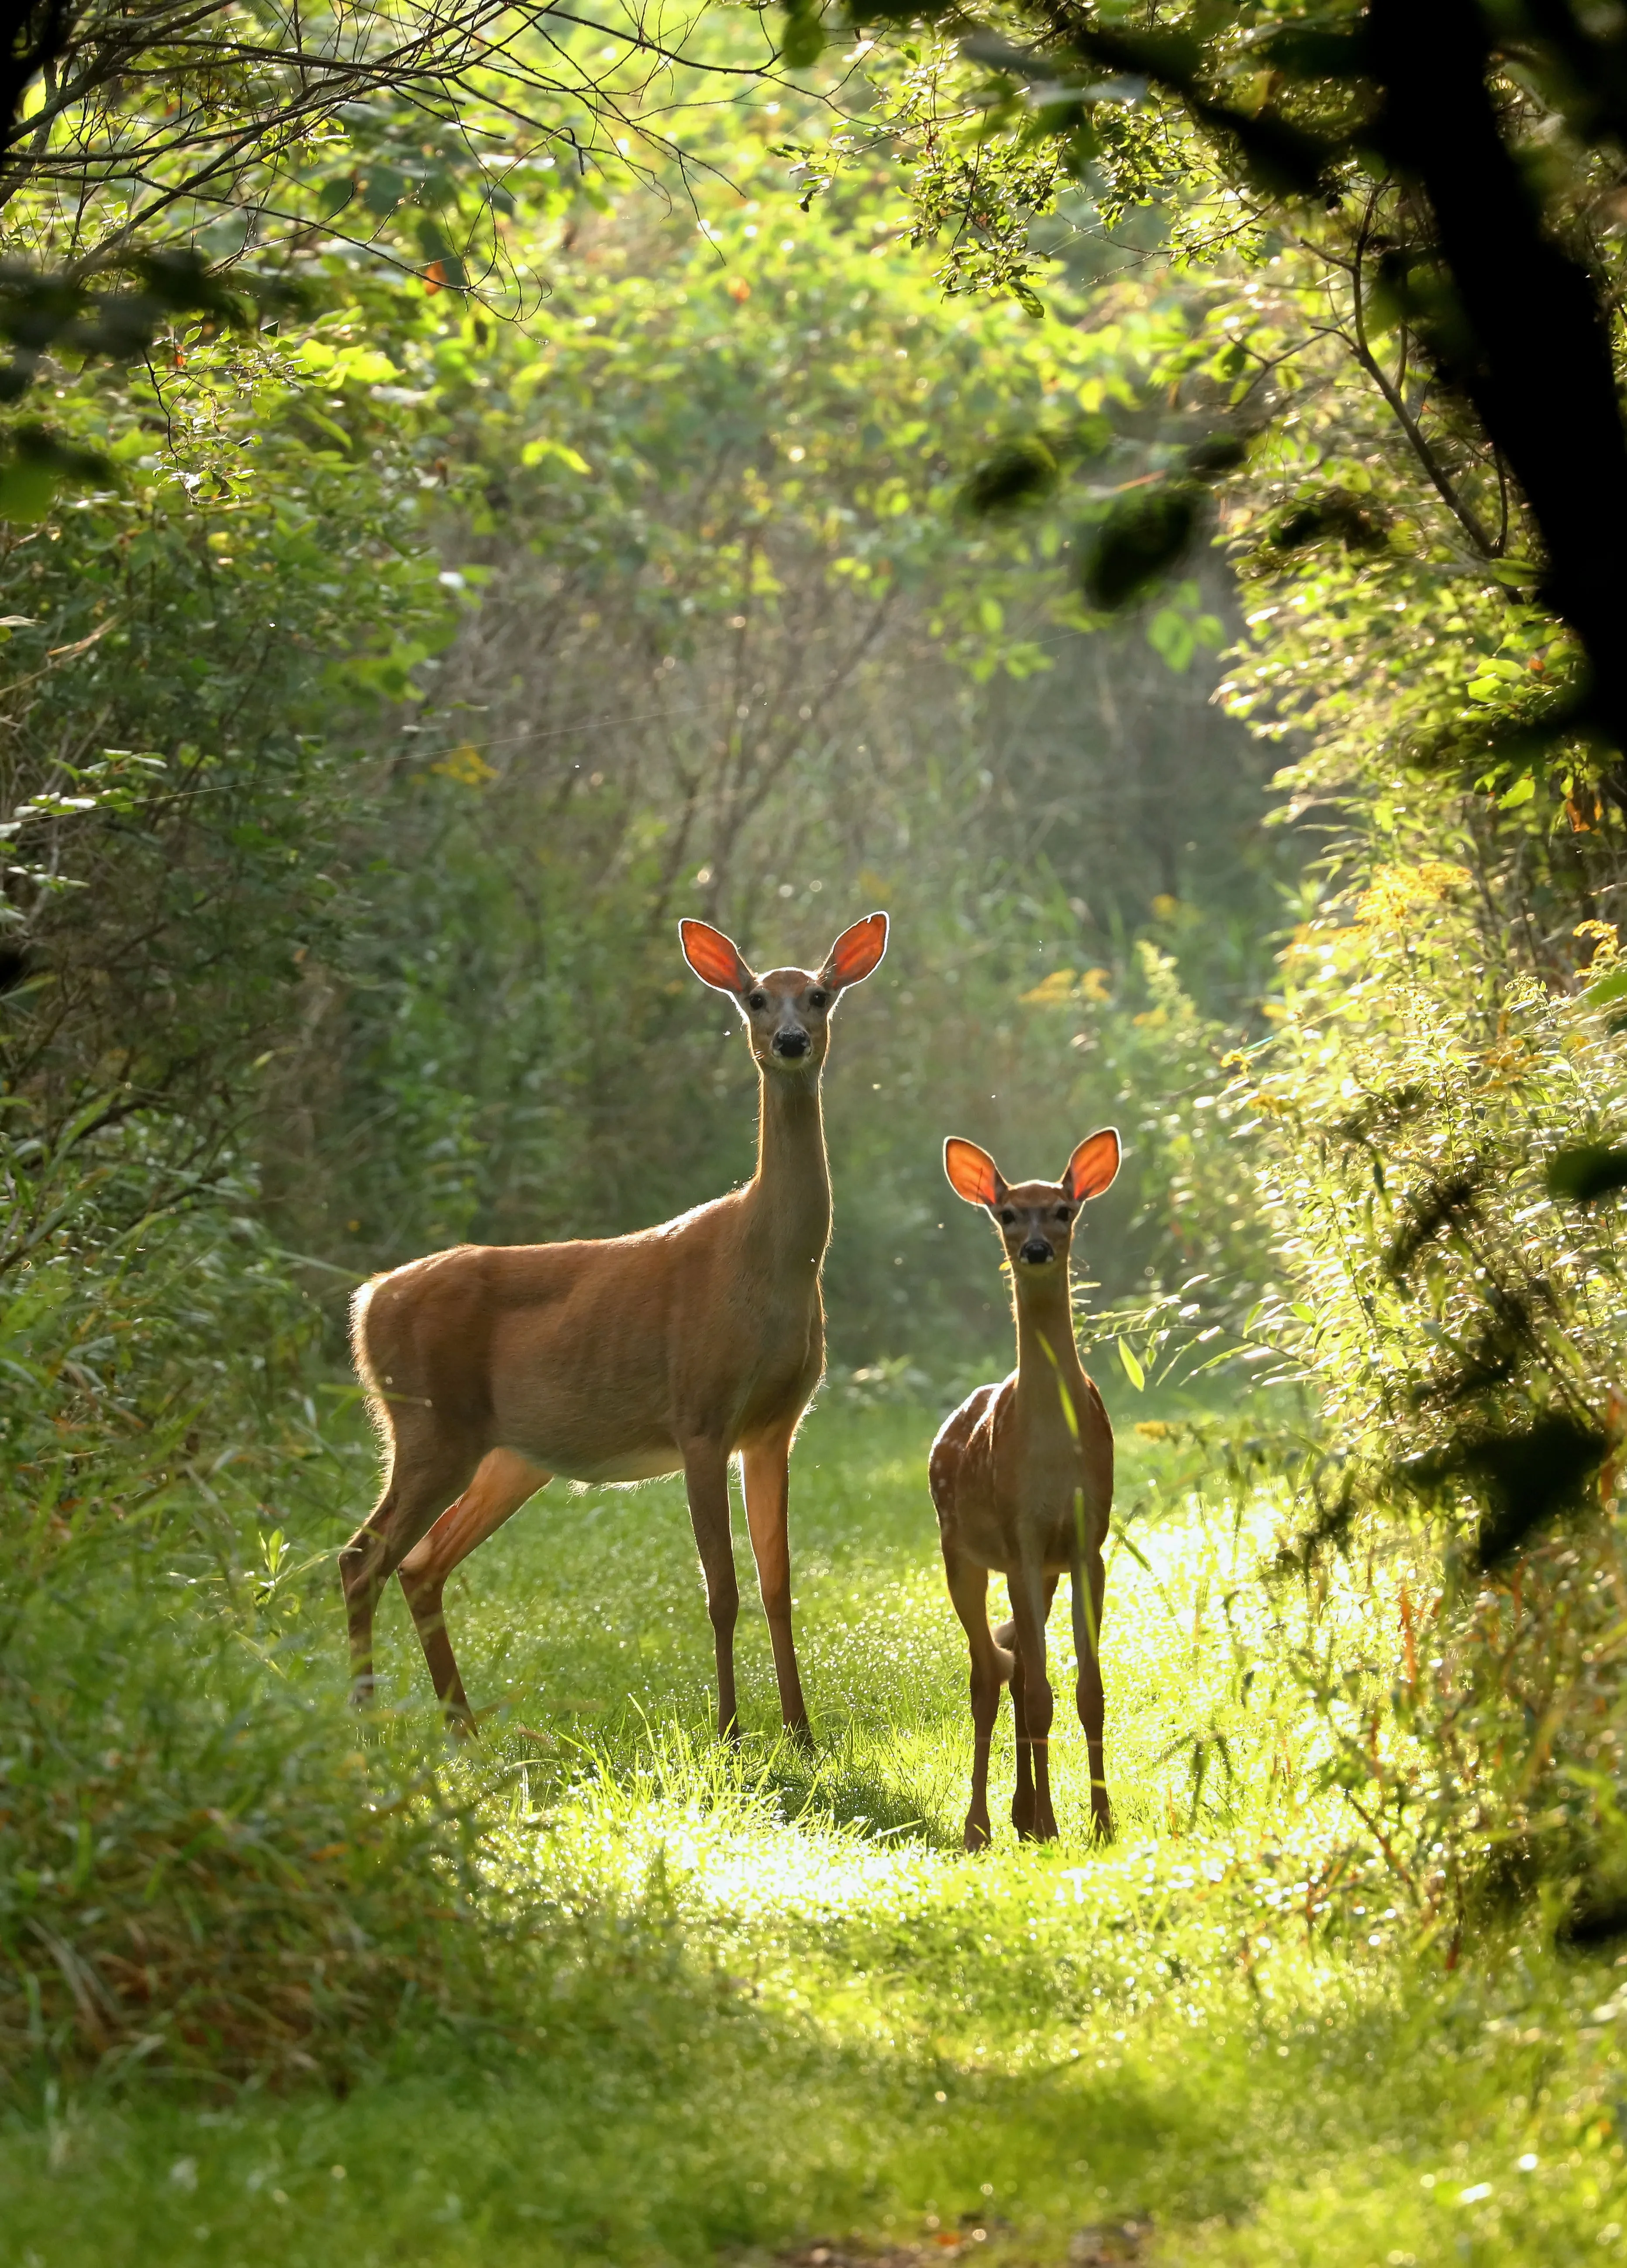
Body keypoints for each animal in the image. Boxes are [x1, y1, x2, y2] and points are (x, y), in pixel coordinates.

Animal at [338, 910, 889, 1742]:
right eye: (757, 997)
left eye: (820, 995)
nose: (791, 1040)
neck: (766, 1263)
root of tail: (368, 1302)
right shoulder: (700, 1413)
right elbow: (721, 1590)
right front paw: (730, 1730)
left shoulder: (774, 1426)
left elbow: (778, 1584)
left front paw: (801, 1732)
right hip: (429, 1425)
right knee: (360, 1557)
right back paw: (370, 1727)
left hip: (508, 1455)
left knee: (419, 1562)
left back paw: (463, 1730)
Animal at [930, 1127, 1122, 1850]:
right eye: (1008, 1213)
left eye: (1063, 1210)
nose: (1036, 1249)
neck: (1052, 1452)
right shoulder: (1020, 1537)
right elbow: (1040, 1691)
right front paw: (1053, 1820)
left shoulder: (1086, 1543)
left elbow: (1088, 1692)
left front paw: (1100, 1821)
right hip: (959, 1551)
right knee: (989, 1672)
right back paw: (983, 1824)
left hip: (1036, 1566)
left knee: (1010, 1667)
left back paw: (1021, 1813)